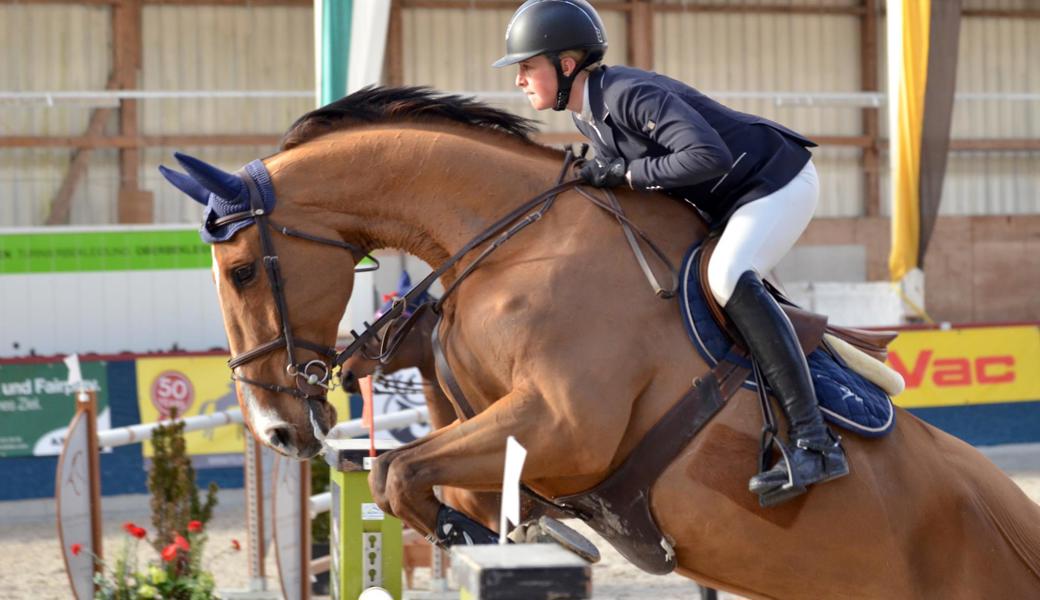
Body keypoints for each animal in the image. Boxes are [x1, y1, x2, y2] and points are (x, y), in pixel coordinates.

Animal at [162, 86, 1040, 594]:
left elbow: (400, 474)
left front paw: (495, 538)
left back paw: (805, 460)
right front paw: (518, 529)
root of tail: (1012, 523)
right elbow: (422, 478)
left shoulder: (564, 426)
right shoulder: (495, 420)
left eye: (241, 270)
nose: (276, 431)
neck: (514, 237)